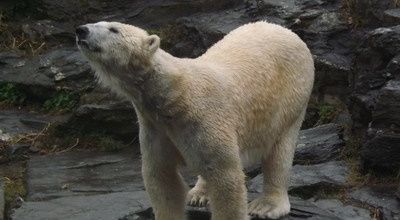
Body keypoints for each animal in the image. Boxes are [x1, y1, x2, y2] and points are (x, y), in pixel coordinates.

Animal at [76, 21, 316, 220]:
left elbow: (225, 175)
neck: (174, 95)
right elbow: (161, 177)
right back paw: (199, 194)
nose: (81, 30)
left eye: (113, 29)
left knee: (280, 150)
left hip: (292, 95)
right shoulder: (155, 127)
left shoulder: (206, 117)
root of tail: (283, 29)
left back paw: (266, 206)